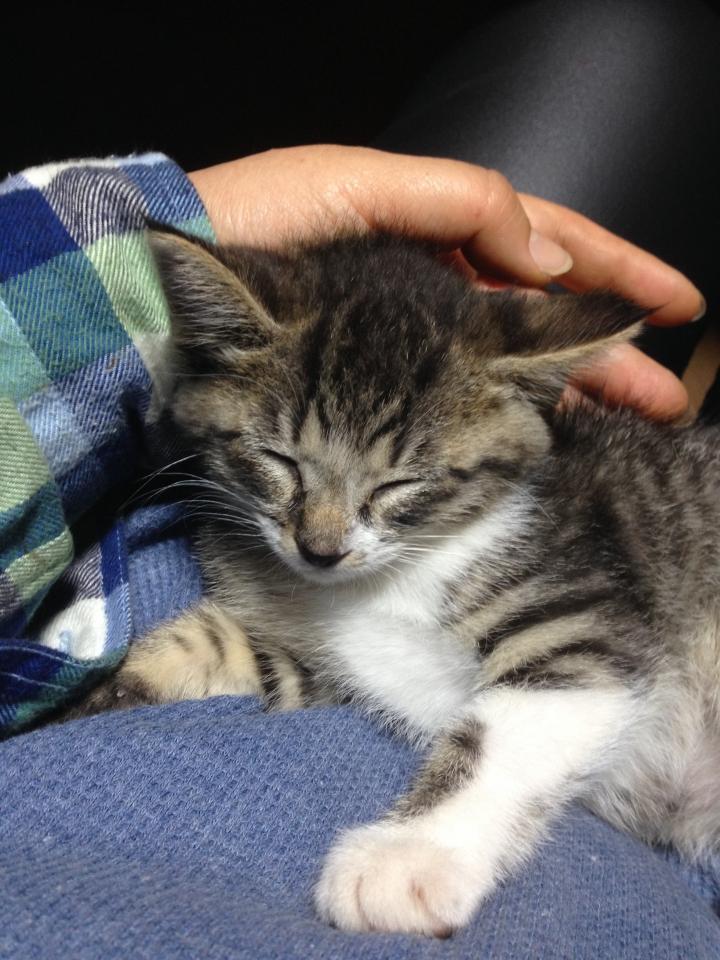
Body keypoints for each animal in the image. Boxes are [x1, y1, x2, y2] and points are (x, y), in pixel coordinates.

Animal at [65, 228, 720, 937]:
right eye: (280, 461)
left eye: (400, 484)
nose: (320, 549)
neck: (389, 574)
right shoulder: (316, 657)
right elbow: (215, 648)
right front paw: (97, 694)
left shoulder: (586, 616)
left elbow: (498, 734)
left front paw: (408, 857)